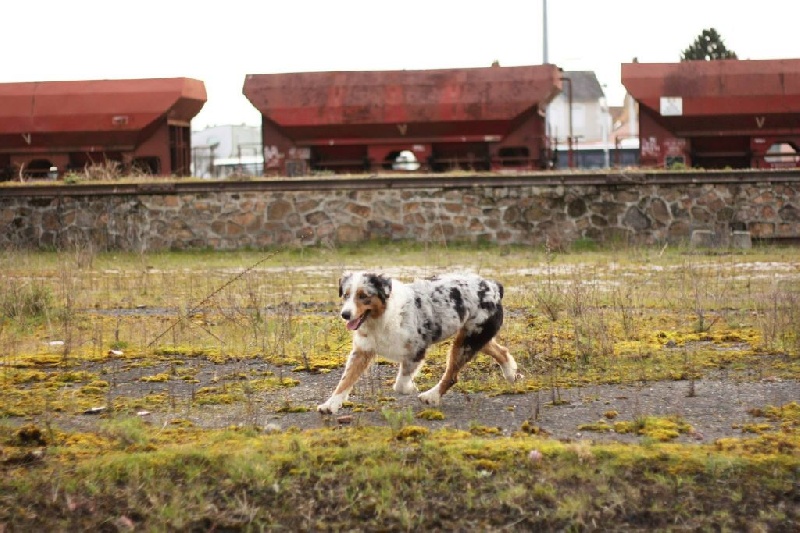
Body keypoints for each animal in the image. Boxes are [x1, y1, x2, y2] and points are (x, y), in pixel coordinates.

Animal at [316, 272, 520, 414]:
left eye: (363, 295)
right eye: (346, 295)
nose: (345, 314)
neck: (382, 318)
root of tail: (493, 285)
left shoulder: (416, 350)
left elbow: (400, 384)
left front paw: (409, 388)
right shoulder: (362, 351)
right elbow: (345, 380)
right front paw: (330, 405)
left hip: (467, 342)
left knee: (452, 375)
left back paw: (431, 396)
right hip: (473, 336)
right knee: (501, 351)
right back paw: (511, 374)